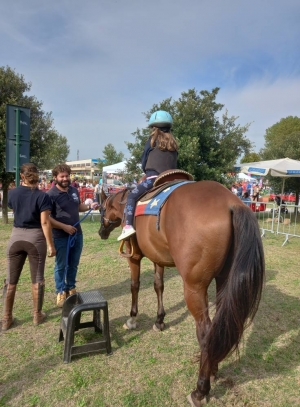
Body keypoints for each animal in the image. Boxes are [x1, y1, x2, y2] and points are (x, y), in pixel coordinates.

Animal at [97, 182, 264, 407]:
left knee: (206, 332)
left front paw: (132, 318)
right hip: (223, 282)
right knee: (219, 328)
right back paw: (212, 369)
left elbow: (135, 285)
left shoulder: (135, 257)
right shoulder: (158, 258)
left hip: (194, 289)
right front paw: (159, 320)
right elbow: (158, 286)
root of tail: (232, 204)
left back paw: (201, 389)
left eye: (101, 208)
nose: (101, 231)